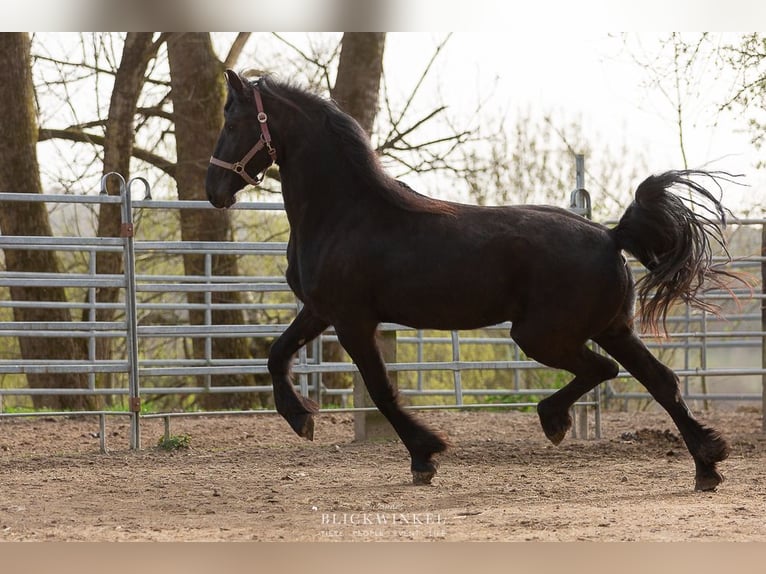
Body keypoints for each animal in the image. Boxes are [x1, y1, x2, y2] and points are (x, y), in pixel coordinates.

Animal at [206, 69, 740, 491]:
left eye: (232, 122)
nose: (213, 191)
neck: (344, 214)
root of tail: (611, 236)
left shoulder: (353, 321)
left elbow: (380, 390)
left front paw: (424, 456)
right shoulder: (321, 311)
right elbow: (277, 354)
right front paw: (301, 418)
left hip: (541, 334)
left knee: (604, 370)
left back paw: (555, 420)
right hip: (611, 328)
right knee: (659, 381)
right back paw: (706, 467)